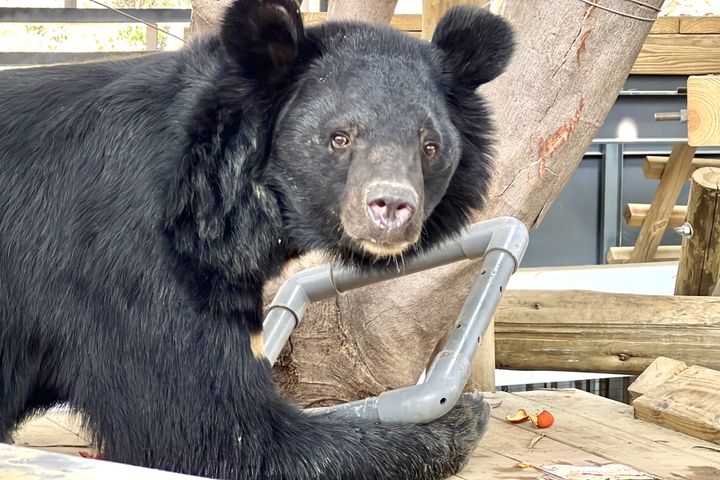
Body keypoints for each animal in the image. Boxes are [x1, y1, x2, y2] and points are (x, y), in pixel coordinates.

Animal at [0, 1, 512, 478]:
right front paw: (462, 418)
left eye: (429, 147)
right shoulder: (130, 254)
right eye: (339, 138)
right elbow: (215, 432)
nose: (390, 208)